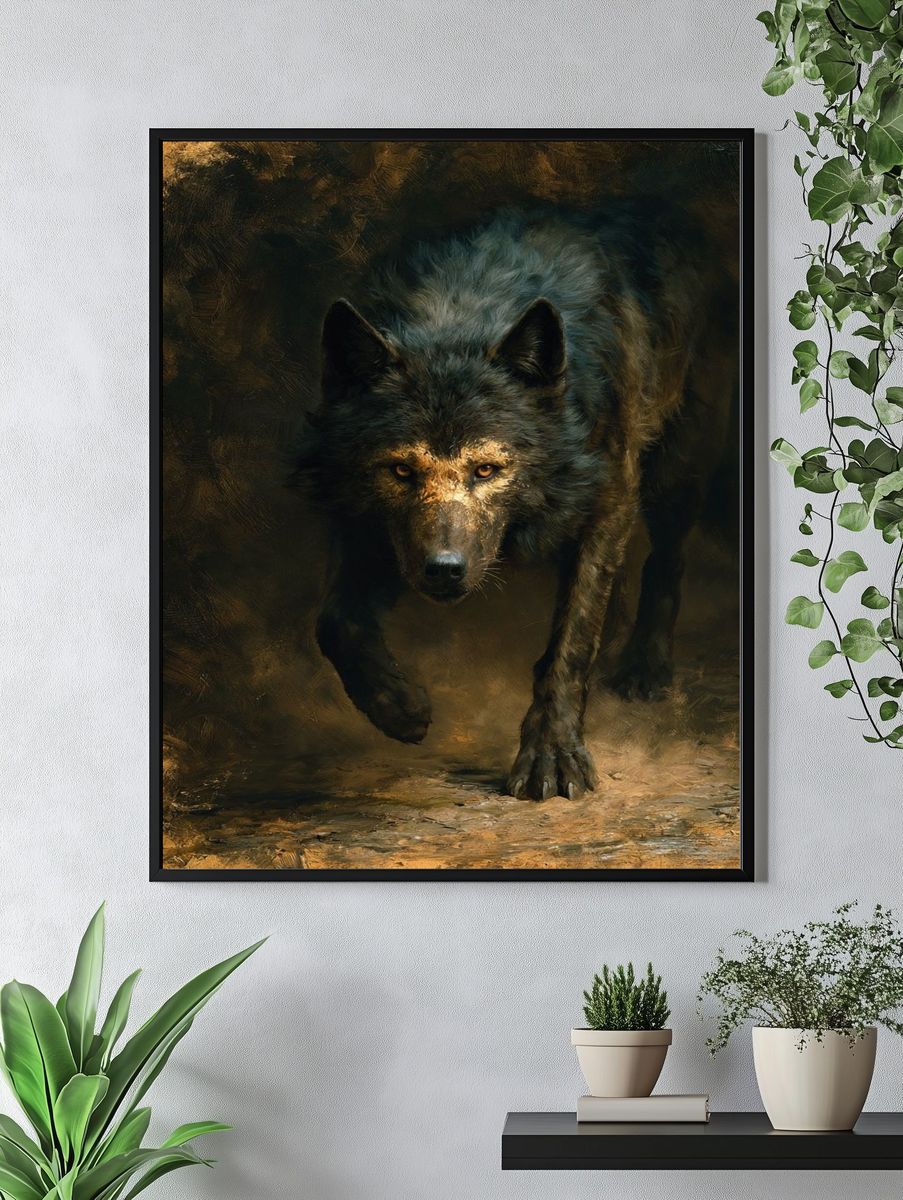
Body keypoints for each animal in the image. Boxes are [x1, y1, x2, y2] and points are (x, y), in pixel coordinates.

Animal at [301, 205, 737, 801]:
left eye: (486, 469)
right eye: (401, 470)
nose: (444, 570)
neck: (463, 310)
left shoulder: (605, 499)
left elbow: (569, 643)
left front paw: (552, 755)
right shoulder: (373, 526)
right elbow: (334, 621)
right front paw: (398, 707)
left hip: (676, 472)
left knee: (665, 561)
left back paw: (644, 669)